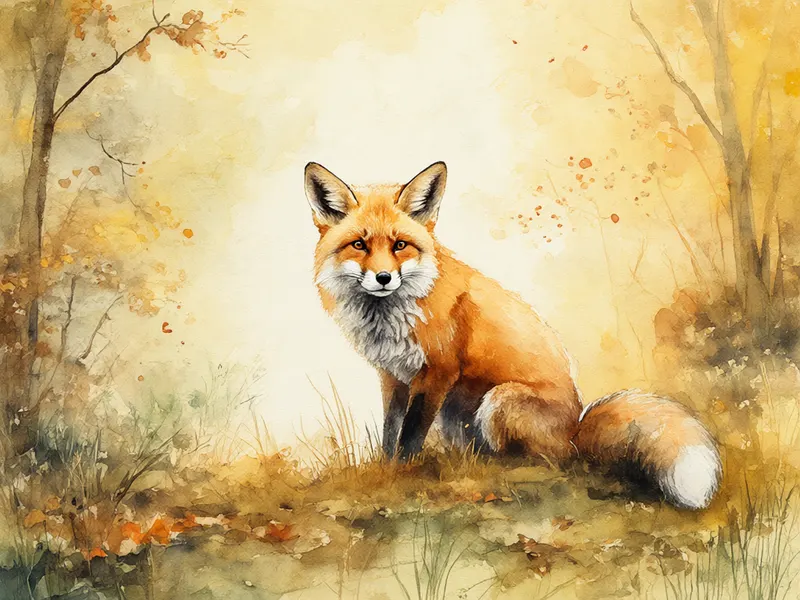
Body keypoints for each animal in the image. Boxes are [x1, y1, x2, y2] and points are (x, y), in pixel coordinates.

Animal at [303, 160, 722, 510]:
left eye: (400, 245)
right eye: (359, 244)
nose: (384, 278)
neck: (394, 313)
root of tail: (576, 429)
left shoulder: (438, 372)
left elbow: (410, 437)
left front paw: (401, 474)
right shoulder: (394, 375)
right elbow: (391, 433)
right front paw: (384, 470)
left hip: (498, 400)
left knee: (541, 461)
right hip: (457, 414)